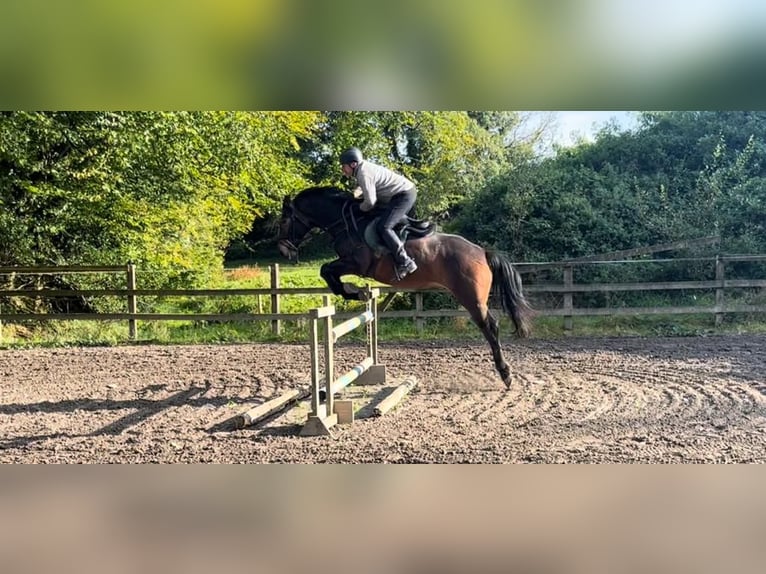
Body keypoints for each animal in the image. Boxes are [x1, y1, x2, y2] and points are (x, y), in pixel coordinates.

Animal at [276, 187, 536, 390]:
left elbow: (326, 270)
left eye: (285, 221)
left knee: (490, 326)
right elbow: (327, 271)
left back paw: (505, 374)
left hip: (471, 299)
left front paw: (352, 290)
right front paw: (355, 291)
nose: (283, 249)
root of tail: (482, 251)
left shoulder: (355, 263)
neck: (345, 222)